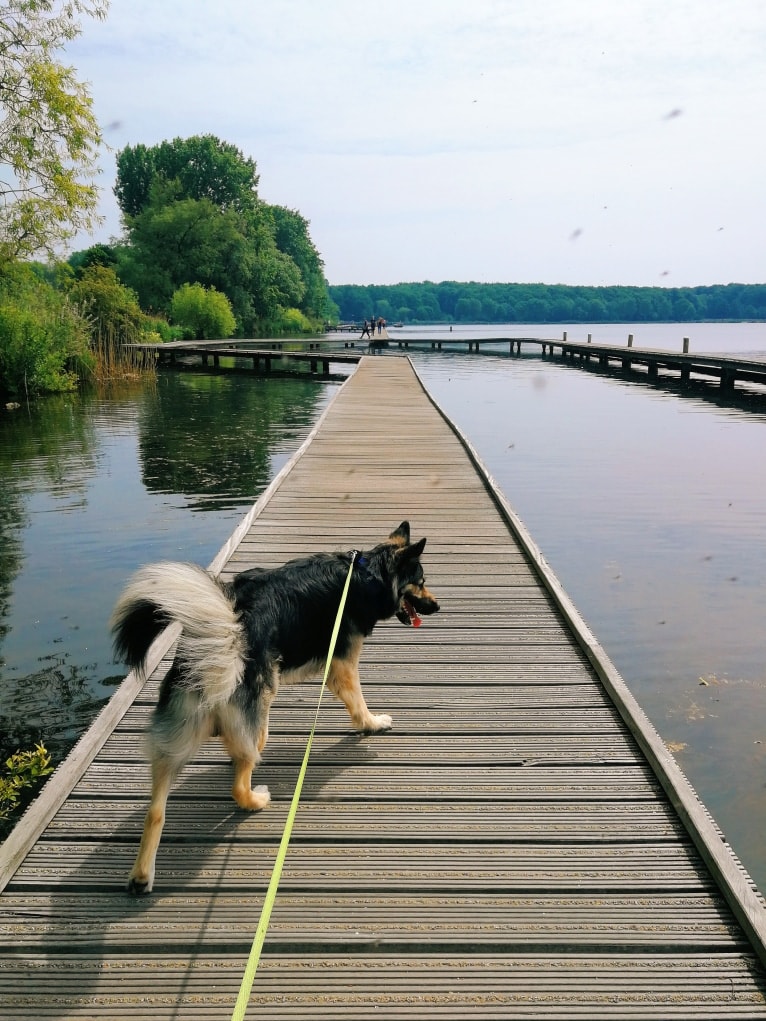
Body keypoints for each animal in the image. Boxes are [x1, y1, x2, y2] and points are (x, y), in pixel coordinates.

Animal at [110, 522, 441, 890]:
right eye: (421, 581)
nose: (438, 607)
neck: (367, 573)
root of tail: (216, 647)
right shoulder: (342, 664)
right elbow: (358, 702)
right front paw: (372, 723)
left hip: (175, 740)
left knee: (155, 811)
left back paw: (141, 875)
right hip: (259, 715)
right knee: (239, 783)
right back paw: (256, 799)